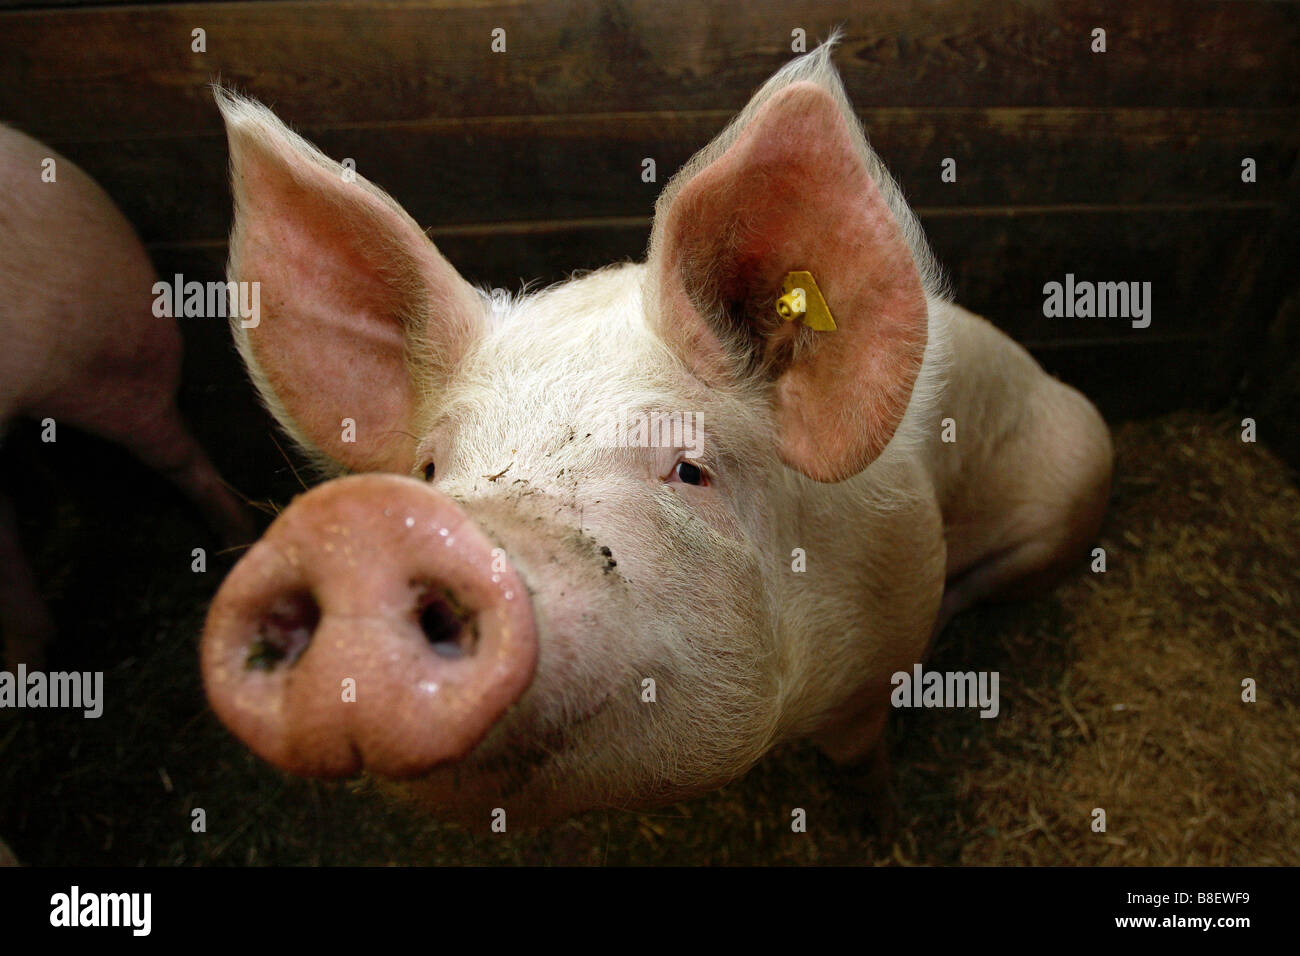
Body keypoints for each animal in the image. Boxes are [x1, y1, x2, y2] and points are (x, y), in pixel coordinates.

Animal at [197, 41, 1112, 827]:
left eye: (688, 468)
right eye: (427, 469)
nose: (362, 524)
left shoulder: (883, 637)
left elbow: (862, 757)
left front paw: (880, 823)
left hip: (1077, 473)